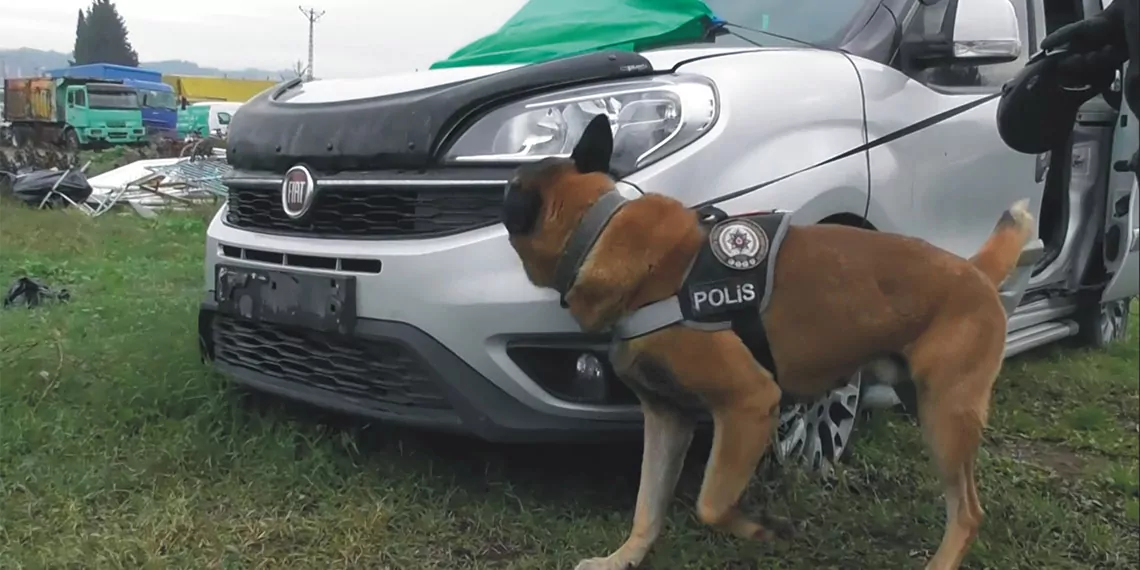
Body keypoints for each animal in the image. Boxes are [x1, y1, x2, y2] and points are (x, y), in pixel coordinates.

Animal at [503, 112, 1039, 570]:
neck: (600, 231)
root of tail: (973, 270)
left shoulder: (749, 403)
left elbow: (711, 503)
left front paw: (763, 528)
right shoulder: (667, 419)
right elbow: (647, 508)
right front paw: (623, 559)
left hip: (945, 418)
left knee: (968, 512)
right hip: (925, 403)